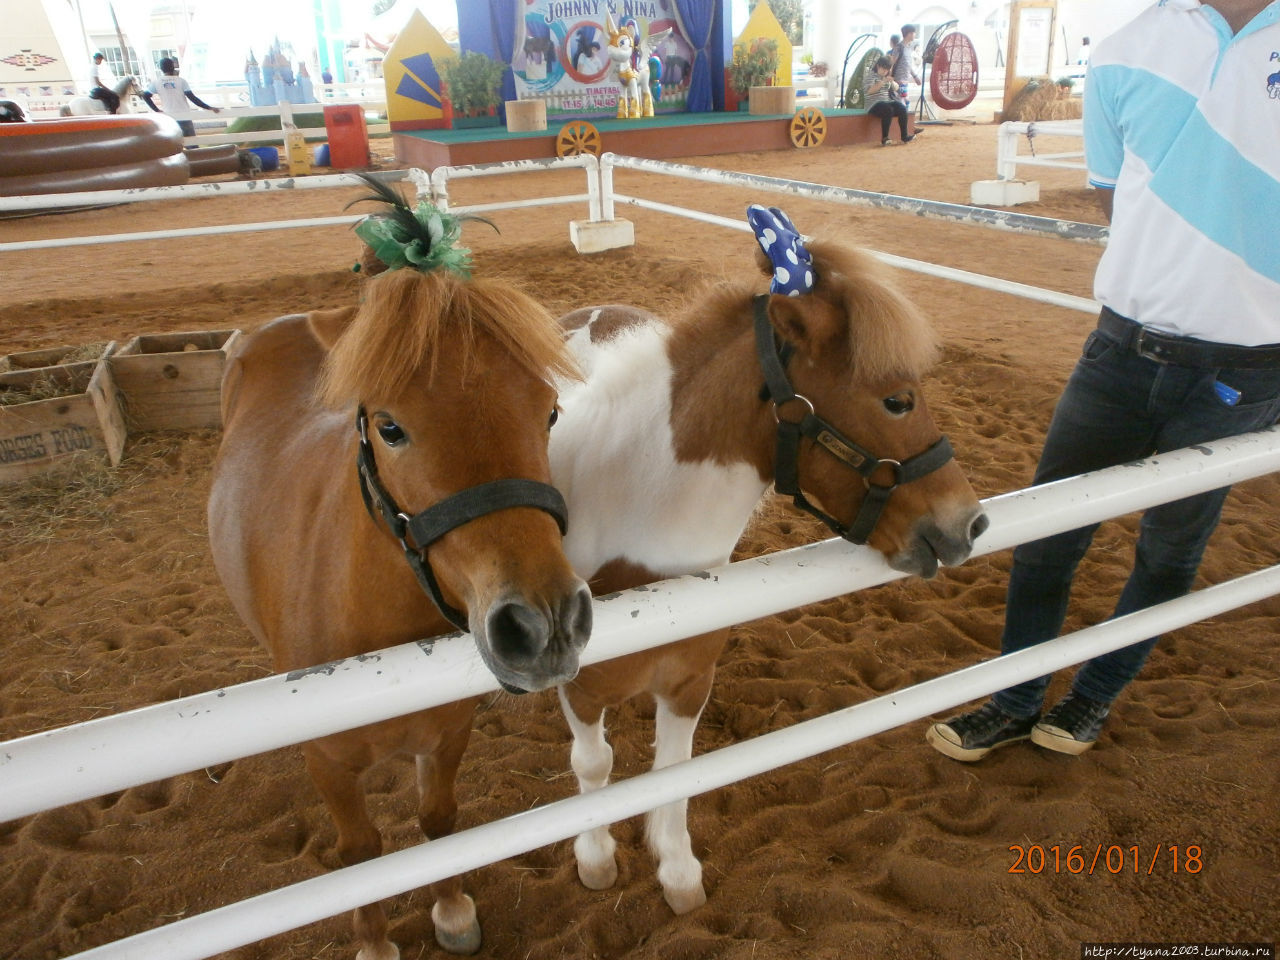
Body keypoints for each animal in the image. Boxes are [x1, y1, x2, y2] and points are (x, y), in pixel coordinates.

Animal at [207, 257, 591, 960]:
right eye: (390, 428)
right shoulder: (328, 764)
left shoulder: (446, 735)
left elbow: (437, 823)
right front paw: (375, 943)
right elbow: (361, 855)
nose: (545, 626)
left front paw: (452, 911)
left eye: (549, 412)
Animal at [545, 224, 983, 916]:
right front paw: (595, 859)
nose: (968, 524)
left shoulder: (690, 680)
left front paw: (677, 872)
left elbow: (674, 771)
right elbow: (593, 766)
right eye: (897, 399)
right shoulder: (582, 693)